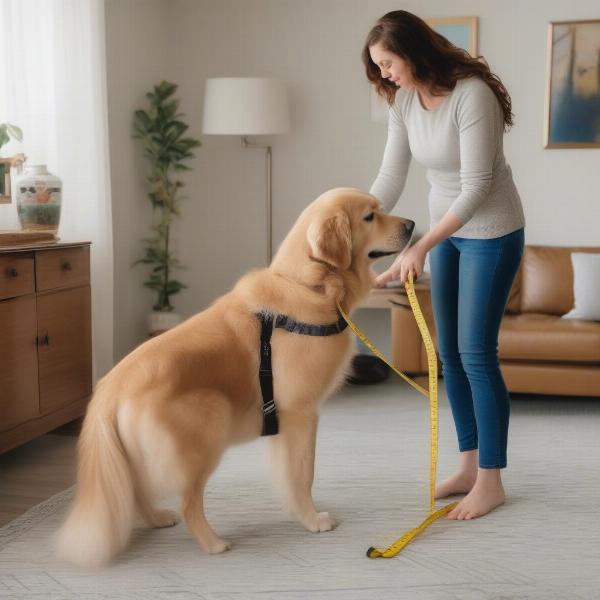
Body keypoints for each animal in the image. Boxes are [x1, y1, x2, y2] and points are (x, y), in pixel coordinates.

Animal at [57, 188, 412, 568]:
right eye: (370, 216)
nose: (411, 225)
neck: (311, 284)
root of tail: (108, 389)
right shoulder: (300, 413)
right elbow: (303, 474)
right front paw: (312, 520)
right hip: (209, 420)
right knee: (187, 501)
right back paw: (213, 543)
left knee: (135, 490)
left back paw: (156, 518)